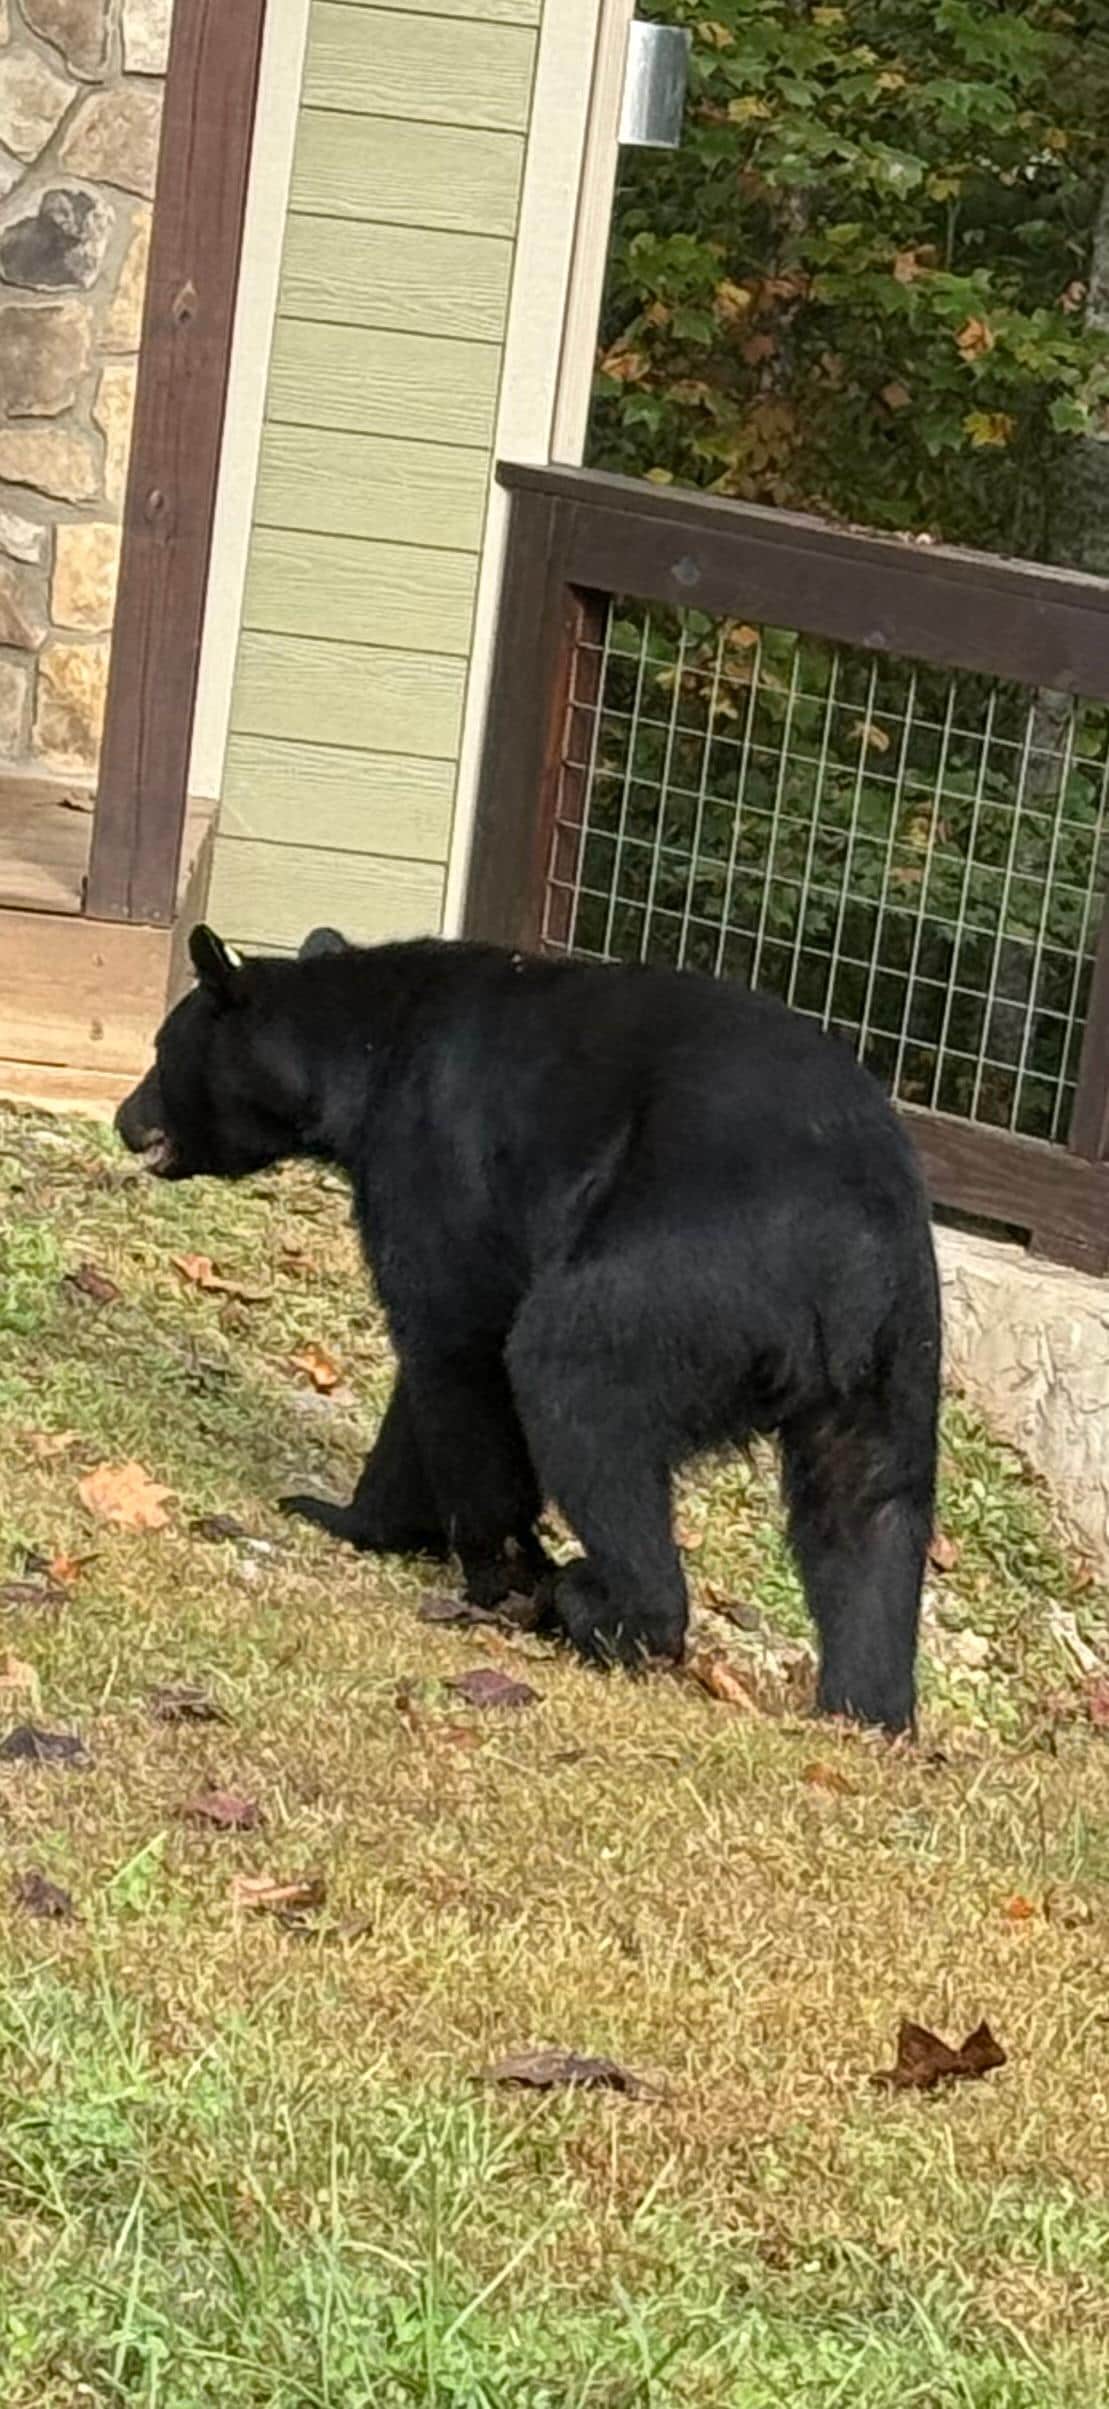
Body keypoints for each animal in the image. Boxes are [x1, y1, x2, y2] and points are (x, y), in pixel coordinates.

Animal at [115, 923, 941, 1732]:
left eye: (160, 1048)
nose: (126, 1120)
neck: (370, 1052)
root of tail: (851, 1256)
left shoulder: (430, 1159)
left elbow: (450, 1345)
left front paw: (473, 1561)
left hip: (693, 1271)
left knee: (572, 1381)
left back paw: (605, 1609)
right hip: (894, 1352)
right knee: (870, 1505)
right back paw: (865, 1709)